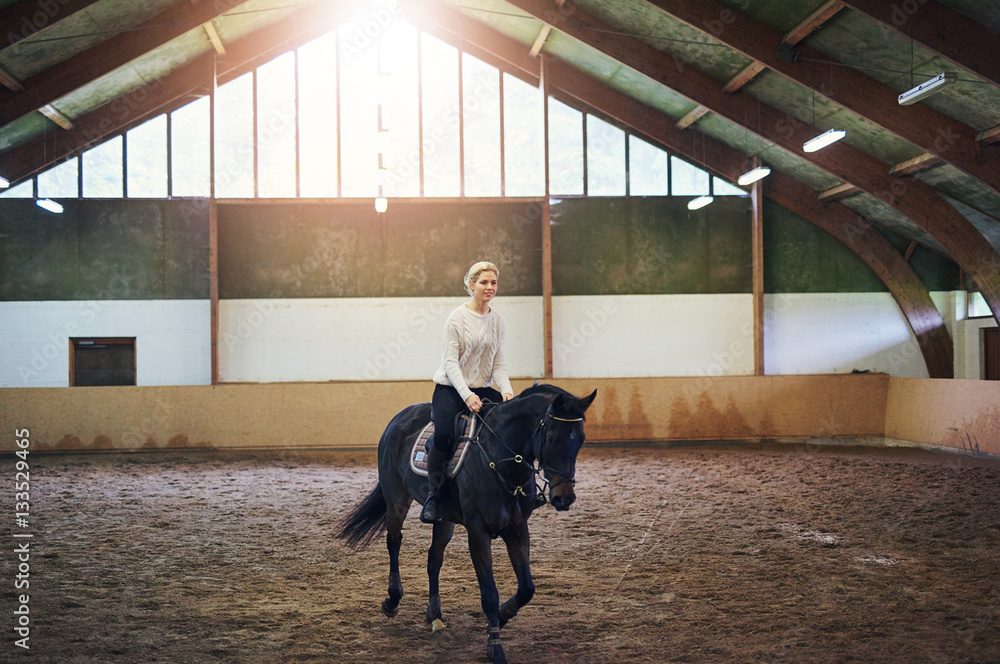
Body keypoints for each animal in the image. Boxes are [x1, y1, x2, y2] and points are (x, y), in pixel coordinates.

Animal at [340, 384, 596, 664]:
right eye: (550, 438)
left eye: (581, 439)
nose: (564, 498)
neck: (500, 459)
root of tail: (399, 418)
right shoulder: (478, 532)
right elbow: (489, 594)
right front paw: (495, 648)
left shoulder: (518, 529)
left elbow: (527, 588)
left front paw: (503, 617)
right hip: (396, 499)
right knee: (394, 542)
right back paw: (392, 600)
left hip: (444, 520)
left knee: (434, 559)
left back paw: (436, 618)